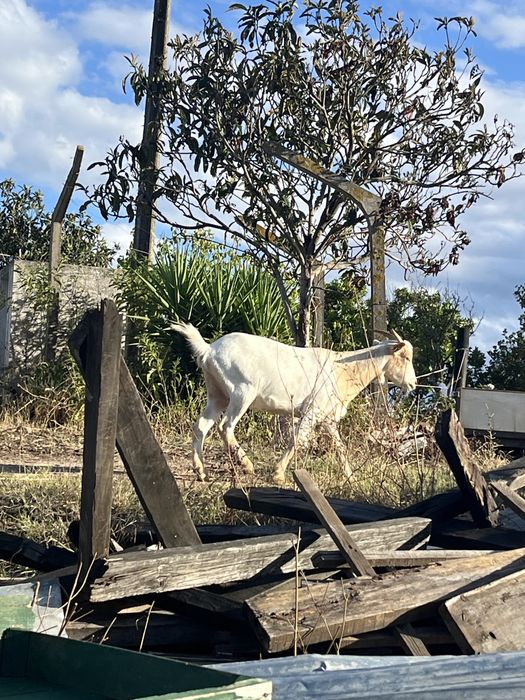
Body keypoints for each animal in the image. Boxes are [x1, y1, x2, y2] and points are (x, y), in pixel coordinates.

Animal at [172, 323, 417, 483]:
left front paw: (349, 477)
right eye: (406, 357)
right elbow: (297, 439)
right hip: (242, 391)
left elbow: (339, 447)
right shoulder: (312, 412)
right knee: (226, 426)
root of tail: (209, 350)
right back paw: (246, 465)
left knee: (201, 427)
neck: (343, 368)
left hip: (217, 394)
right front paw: (278, 474)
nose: (413, 384)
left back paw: (201, 471)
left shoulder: (327, 418)